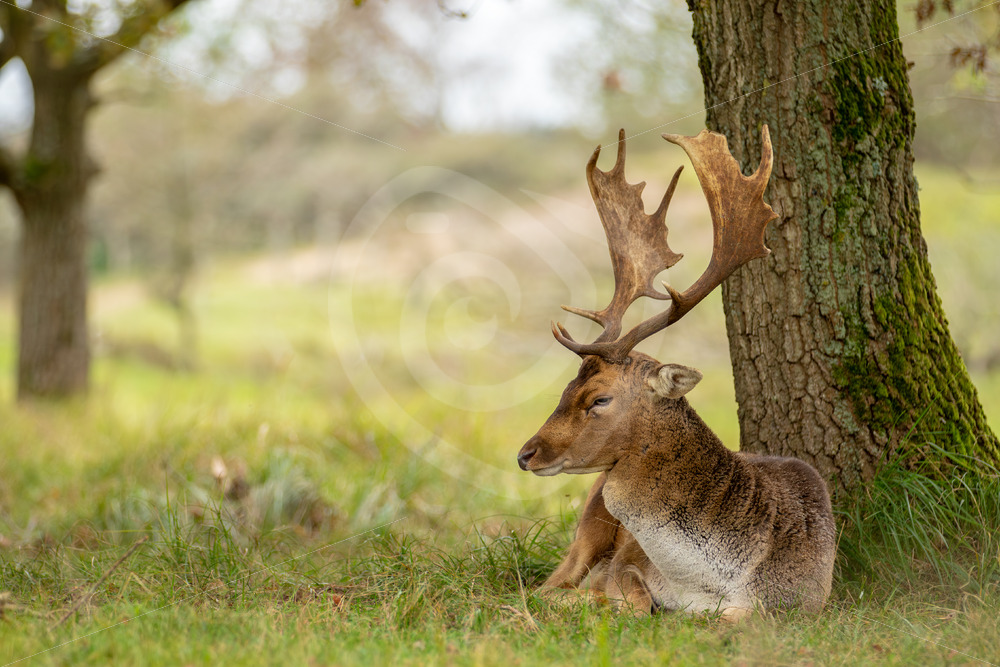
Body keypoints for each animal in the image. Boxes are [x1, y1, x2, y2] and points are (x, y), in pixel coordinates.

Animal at [517, 127, 836, 619]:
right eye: (568, 386)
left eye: (599, 398)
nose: (525, 454)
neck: (707, 582)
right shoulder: (626, 563)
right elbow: (628, 599)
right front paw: (595, 600)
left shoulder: (798, 600)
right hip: (589, 519)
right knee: (543, 584)